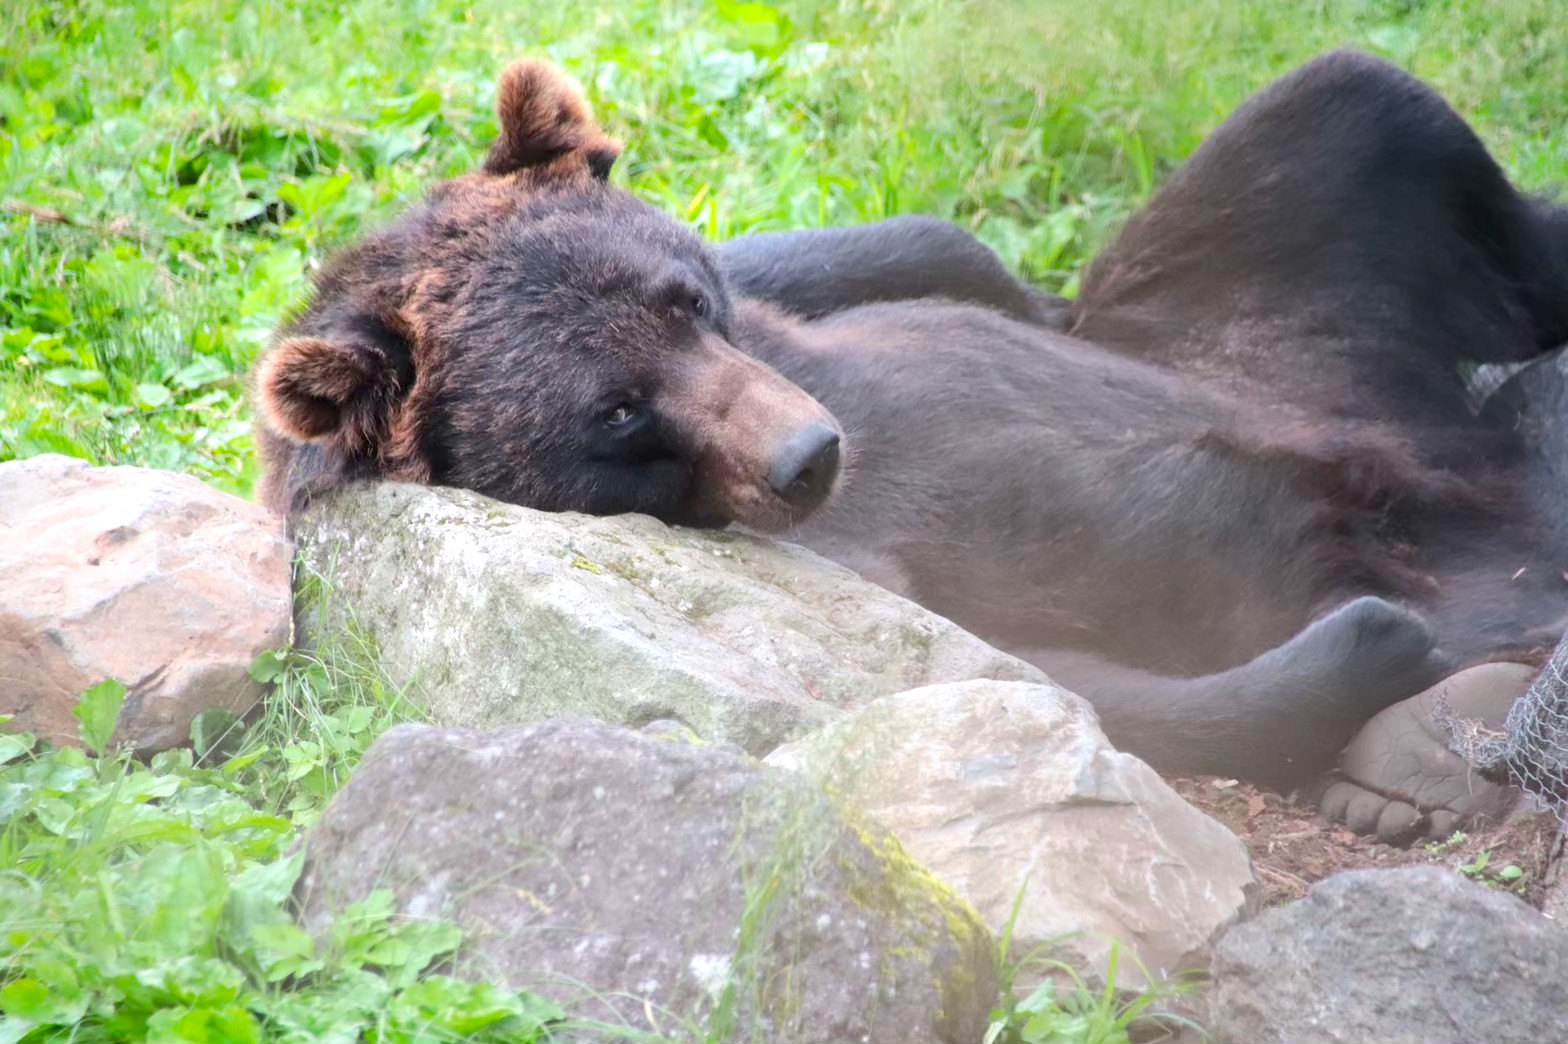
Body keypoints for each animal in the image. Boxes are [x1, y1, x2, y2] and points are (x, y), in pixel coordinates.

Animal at [260, 54, 1568, 790]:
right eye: (616, 411)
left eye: (685, 300)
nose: (810, 452)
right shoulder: (890, 587)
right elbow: (1057, 687)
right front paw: (1367, 643)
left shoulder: (804, 312)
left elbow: (917, 251)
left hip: (1265, 300)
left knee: (1357, 112)